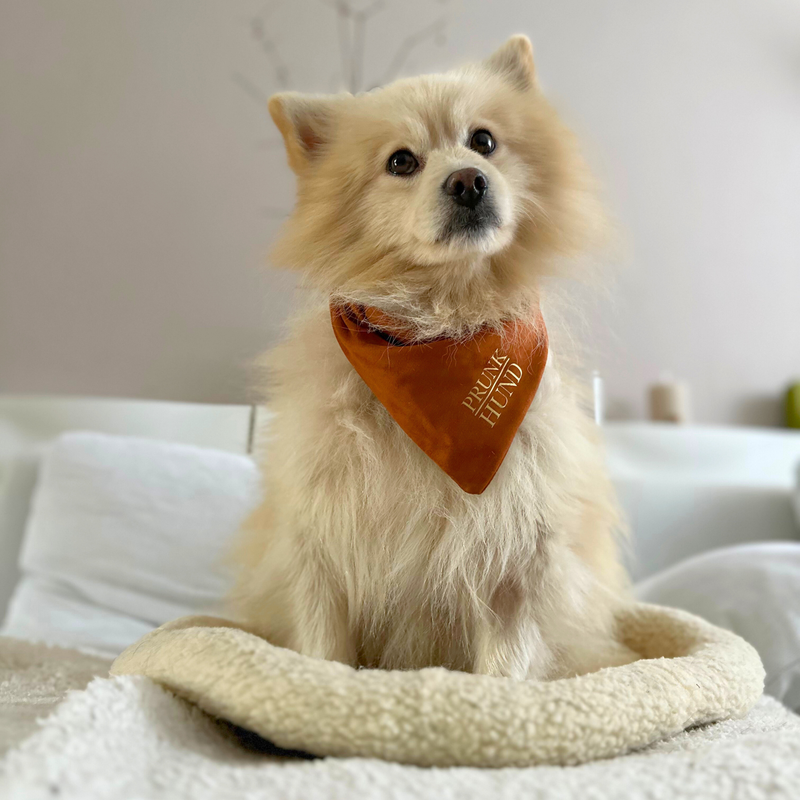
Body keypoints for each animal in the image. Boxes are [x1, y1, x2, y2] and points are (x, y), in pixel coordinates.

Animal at [228, 34, 636, 680]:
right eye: (401, 162)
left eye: (484, 141)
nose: (469, 180)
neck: (441, 330)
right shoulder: (319, 550)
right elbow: (323, 648)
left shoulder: (513, 558)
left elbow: (505, 665)